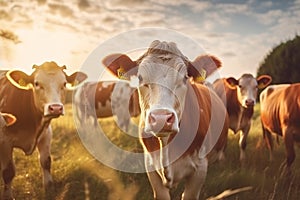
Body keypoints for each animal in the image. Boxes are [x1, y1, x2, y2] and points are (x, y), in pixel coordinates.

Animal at [0, 61, 86, 199]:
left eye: (64, 83)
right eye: (36, 83)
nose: (55, 108)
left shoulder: (46, 134)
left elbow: (46, 162)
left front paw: (49, 191)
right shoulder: (5, 140)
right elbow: (8, 172)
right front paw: (8, 196)